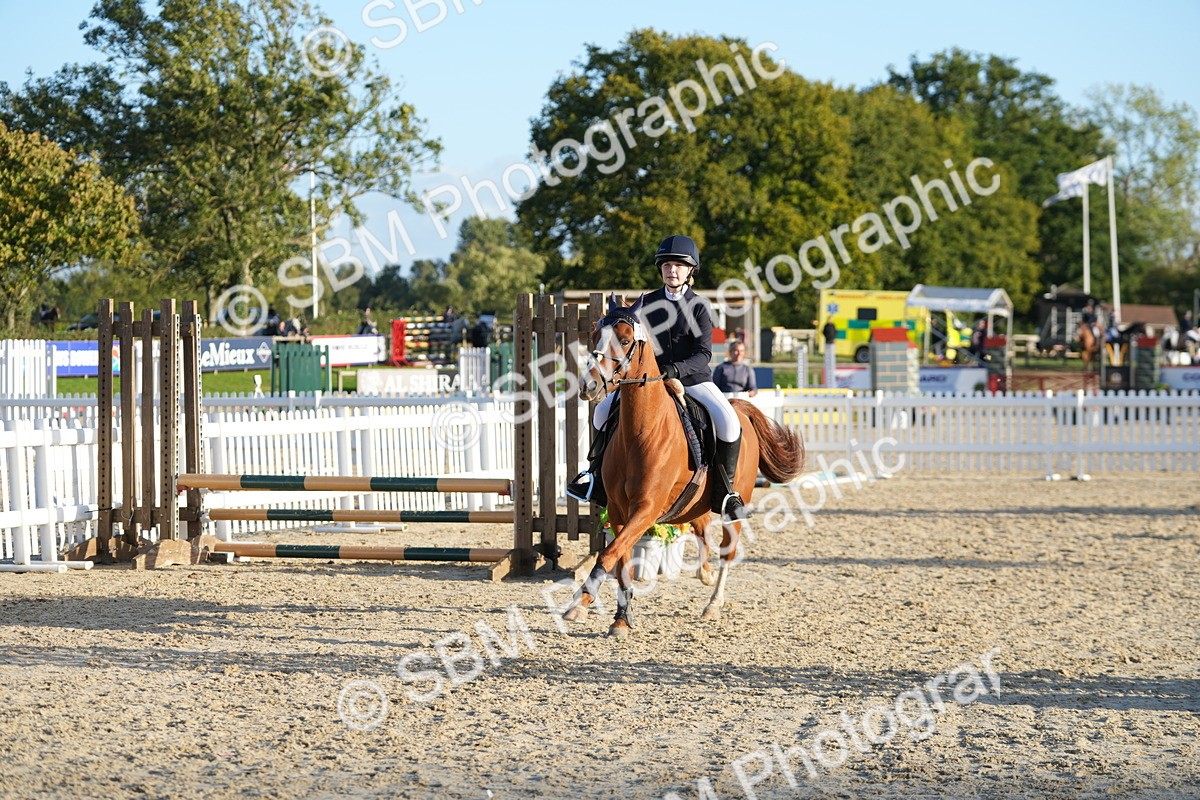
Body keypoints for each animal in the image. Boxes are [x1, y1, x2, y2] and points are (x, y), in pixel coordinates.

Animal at [563, 295, 805, 638]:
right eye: (595, 337)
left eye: (624, 340)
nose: (589, 385)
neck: (640, 430)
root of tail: (739, 407)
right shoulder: (619, 510)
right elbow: (621, 560)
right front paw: (621, 618)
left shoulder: (646, 508)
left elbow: (611, 553)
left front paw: (580, 602)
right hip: (693, 501)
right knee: (701, 526)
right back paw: (703, 573)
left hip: (734, 504)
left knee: (727, 549)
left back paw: (713, 604)